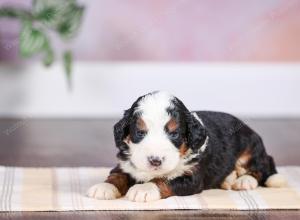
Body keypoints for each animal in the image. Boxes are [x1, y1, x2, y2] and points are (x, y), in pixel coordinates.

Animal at [86, 90, 286, 202]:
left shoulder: (192, 177)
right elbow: (117, 175)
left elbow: (164, 181)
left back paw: (244, 181)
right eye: (140, 132)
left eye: (174, 134)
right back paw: (228, 179)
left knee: (260, 168)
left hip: (250, 146)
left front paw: (144, 189)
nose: (155, 161)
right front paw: (104, 188)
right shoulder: (125, 164)